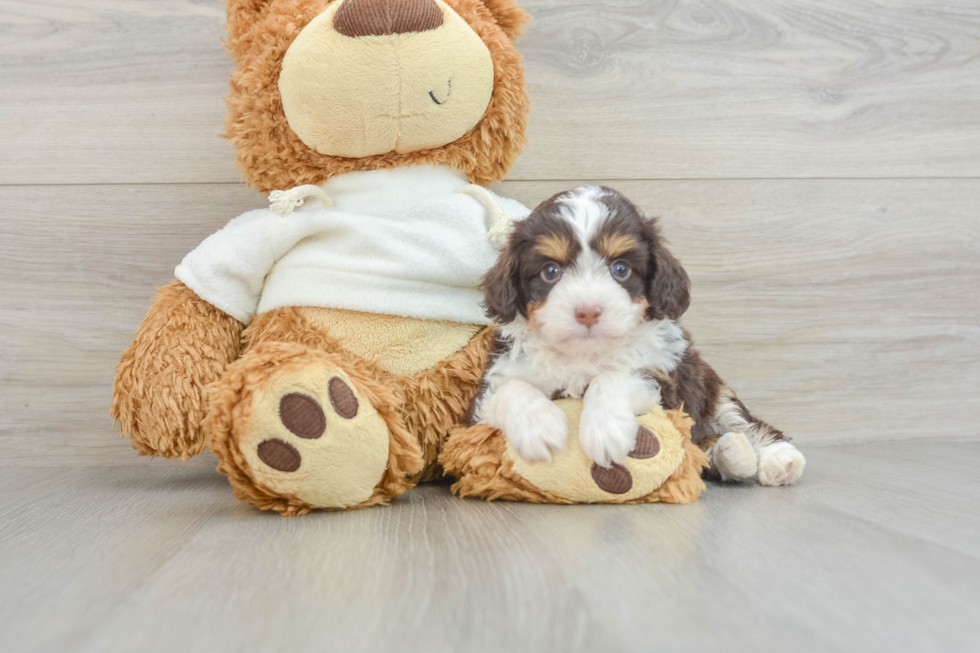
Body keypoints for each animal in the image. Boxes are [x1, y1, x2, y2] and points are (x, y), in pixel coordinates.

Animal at [472, 185, 804, 484]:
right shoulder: (483, 400)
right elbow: (511, 389)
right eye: (550, 272)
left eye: (621, 269)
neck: (583, 354)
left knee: (745, 423)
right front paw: (538, 428)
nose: (588, 311)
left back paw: (778, 459)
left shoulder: (664, 383)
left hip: (713, 389)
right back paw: (732, 454)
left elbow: (615, 376)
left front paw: (605, 430)